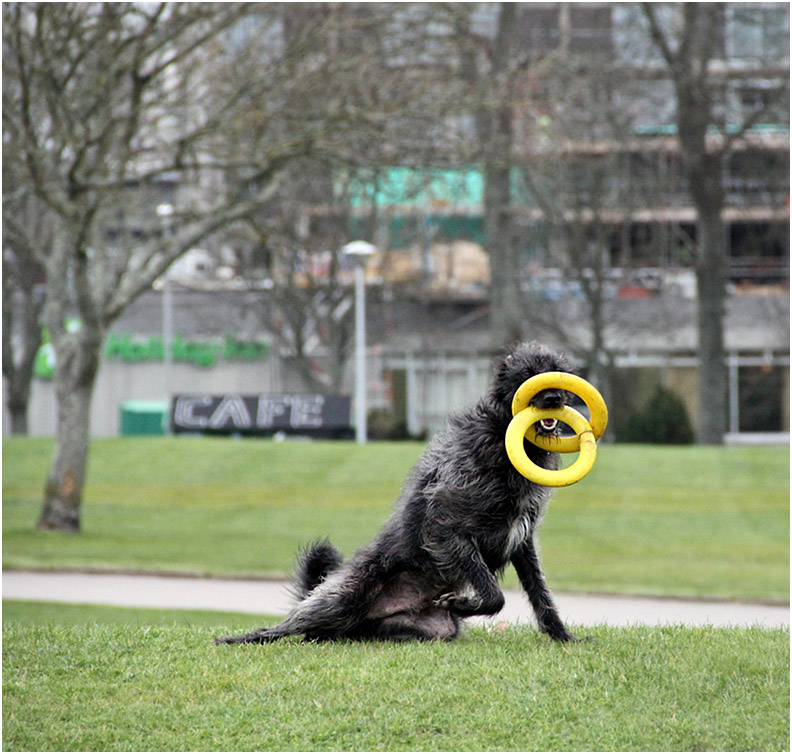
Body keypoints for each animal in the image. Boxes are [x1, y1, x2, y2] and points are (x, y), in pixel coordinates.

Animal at [220, 344, 580, 644]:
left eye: (557, 372)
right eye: (528, 374)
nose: (553, 399)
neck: (502, 434)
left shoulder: (522, 539)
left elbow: (540, 593)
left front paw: (563, 636)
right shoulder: (447, 527)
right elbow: (495, 596)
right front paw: (462, 603)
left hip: (423, 628)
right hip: (343, 596)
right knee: (296, 622)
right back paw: (244, 637)